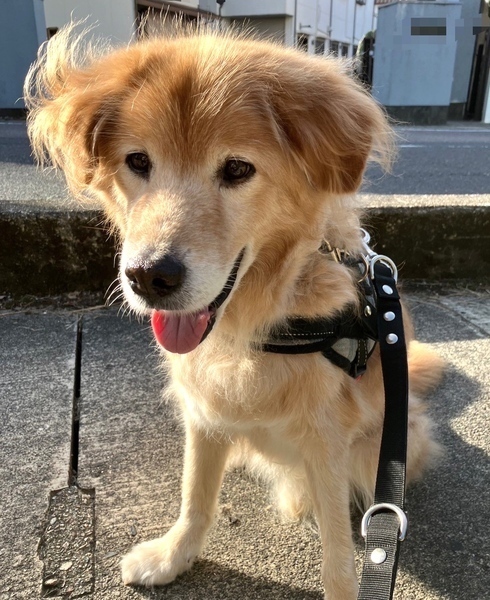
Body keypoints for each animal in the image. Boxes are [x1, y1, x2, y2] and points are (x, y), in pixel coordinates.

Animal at [25, 24, 443, 600]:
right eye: (138, 162)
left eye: (238, 169)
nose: (149, 278)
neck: (253, 321)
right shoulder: (204, 408)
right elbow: (195, 497)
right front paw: (173, 557)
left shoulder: (327, 441)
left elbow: (339, 554)